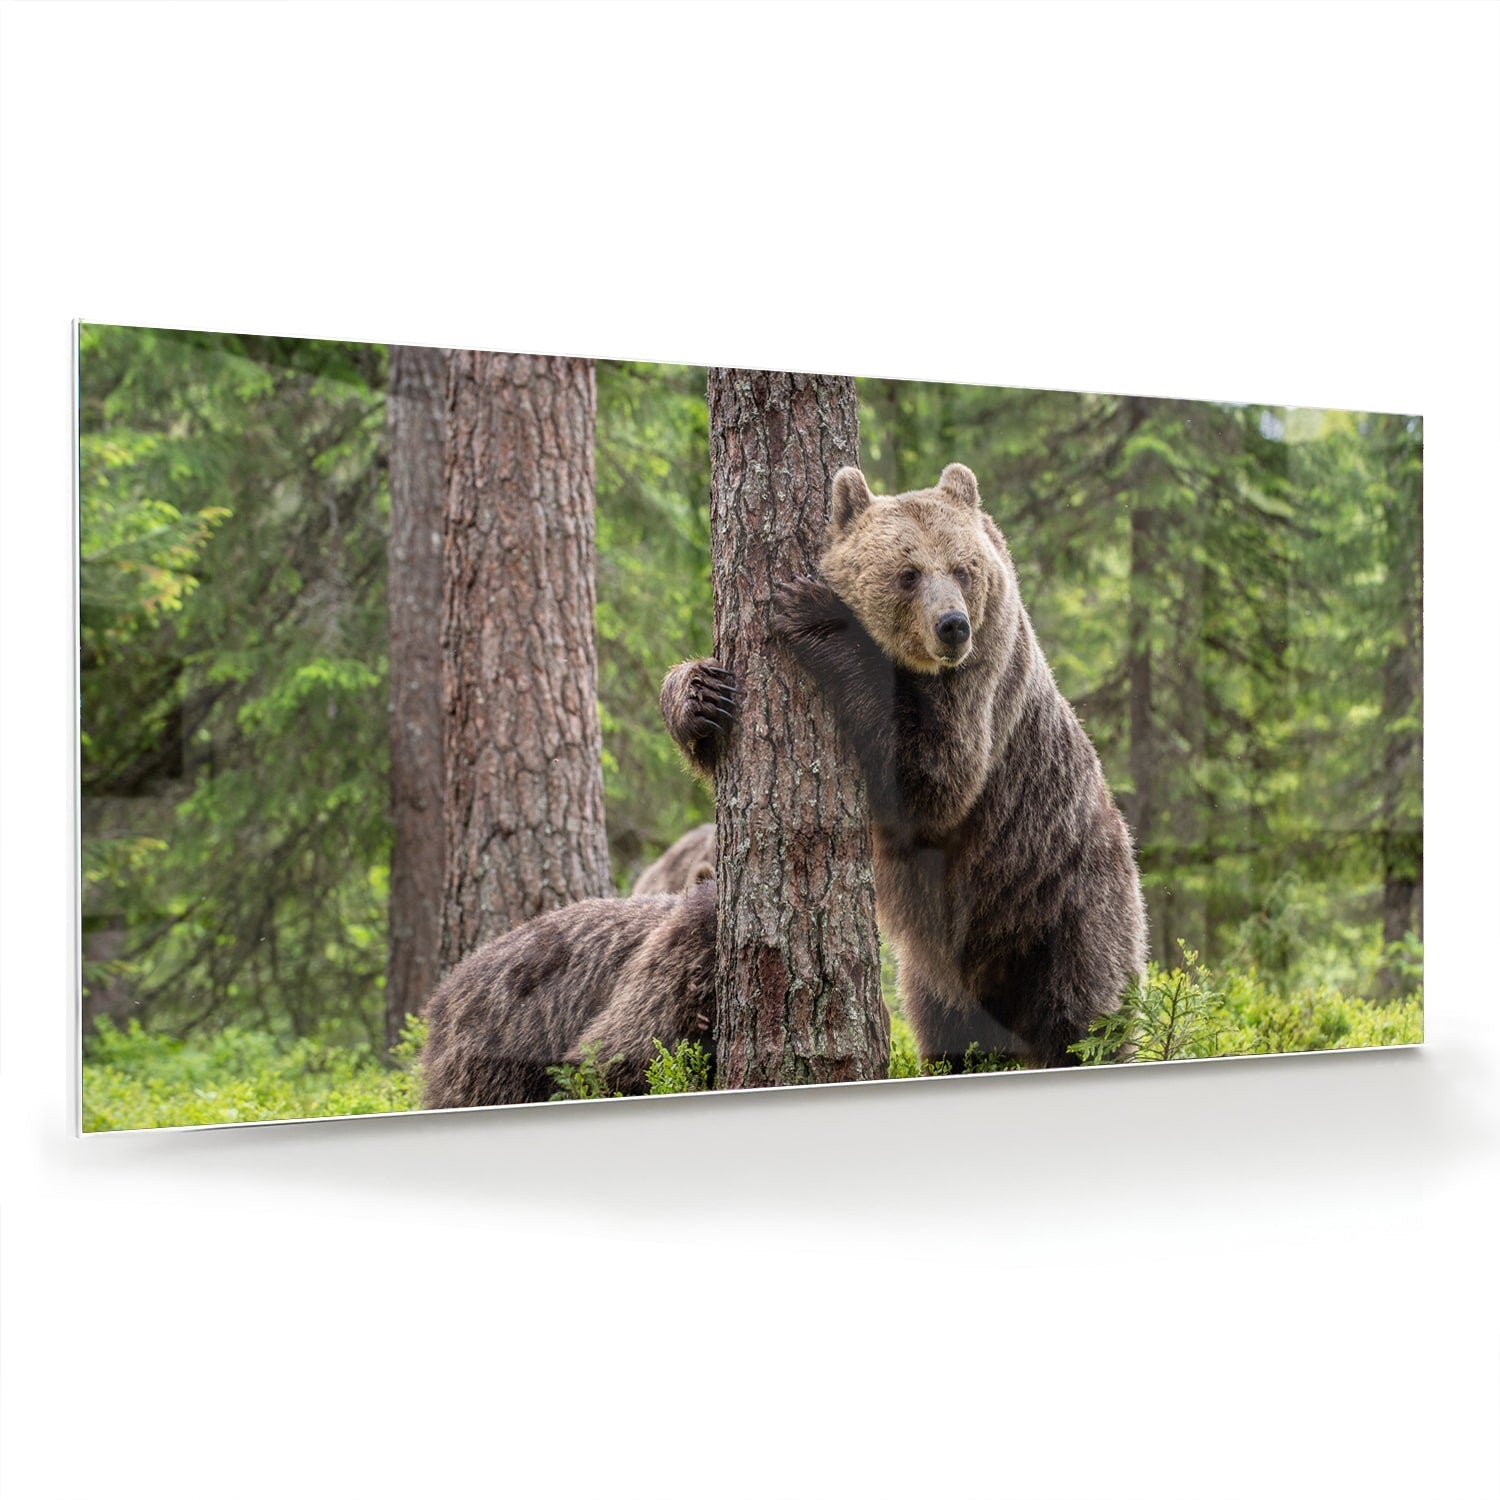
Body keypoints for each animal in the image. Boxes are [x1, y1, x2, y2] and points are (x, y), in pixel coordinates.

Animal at [660, 462, 1147, 1070]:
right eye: (908, 573)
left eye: (962, 568)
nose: (952, 625)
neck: (921, 669)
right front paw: (701, 696)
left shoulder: (982, 689)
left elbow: (934, 779)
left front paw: (818, 615)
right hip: (939, 970)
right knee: (948, 1027)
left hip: (1069, 902)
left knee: (1082, 1013)